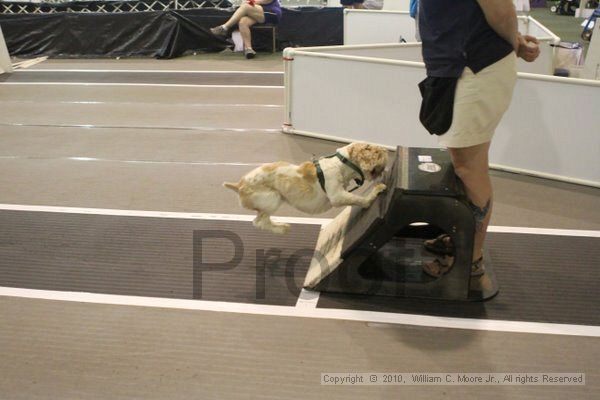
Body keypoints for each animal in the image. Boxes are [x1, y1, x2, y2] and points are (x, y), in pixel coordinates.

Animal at [223, 142, 386, 233]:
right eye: (377, 152)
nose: (386, 153)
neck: (341, 164)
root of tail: (239, 185)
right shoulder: (338, 196)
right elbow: (359, 199)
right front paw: (376, 192)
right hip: (272, 199)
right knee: (259, 222)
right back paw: (281, 229)